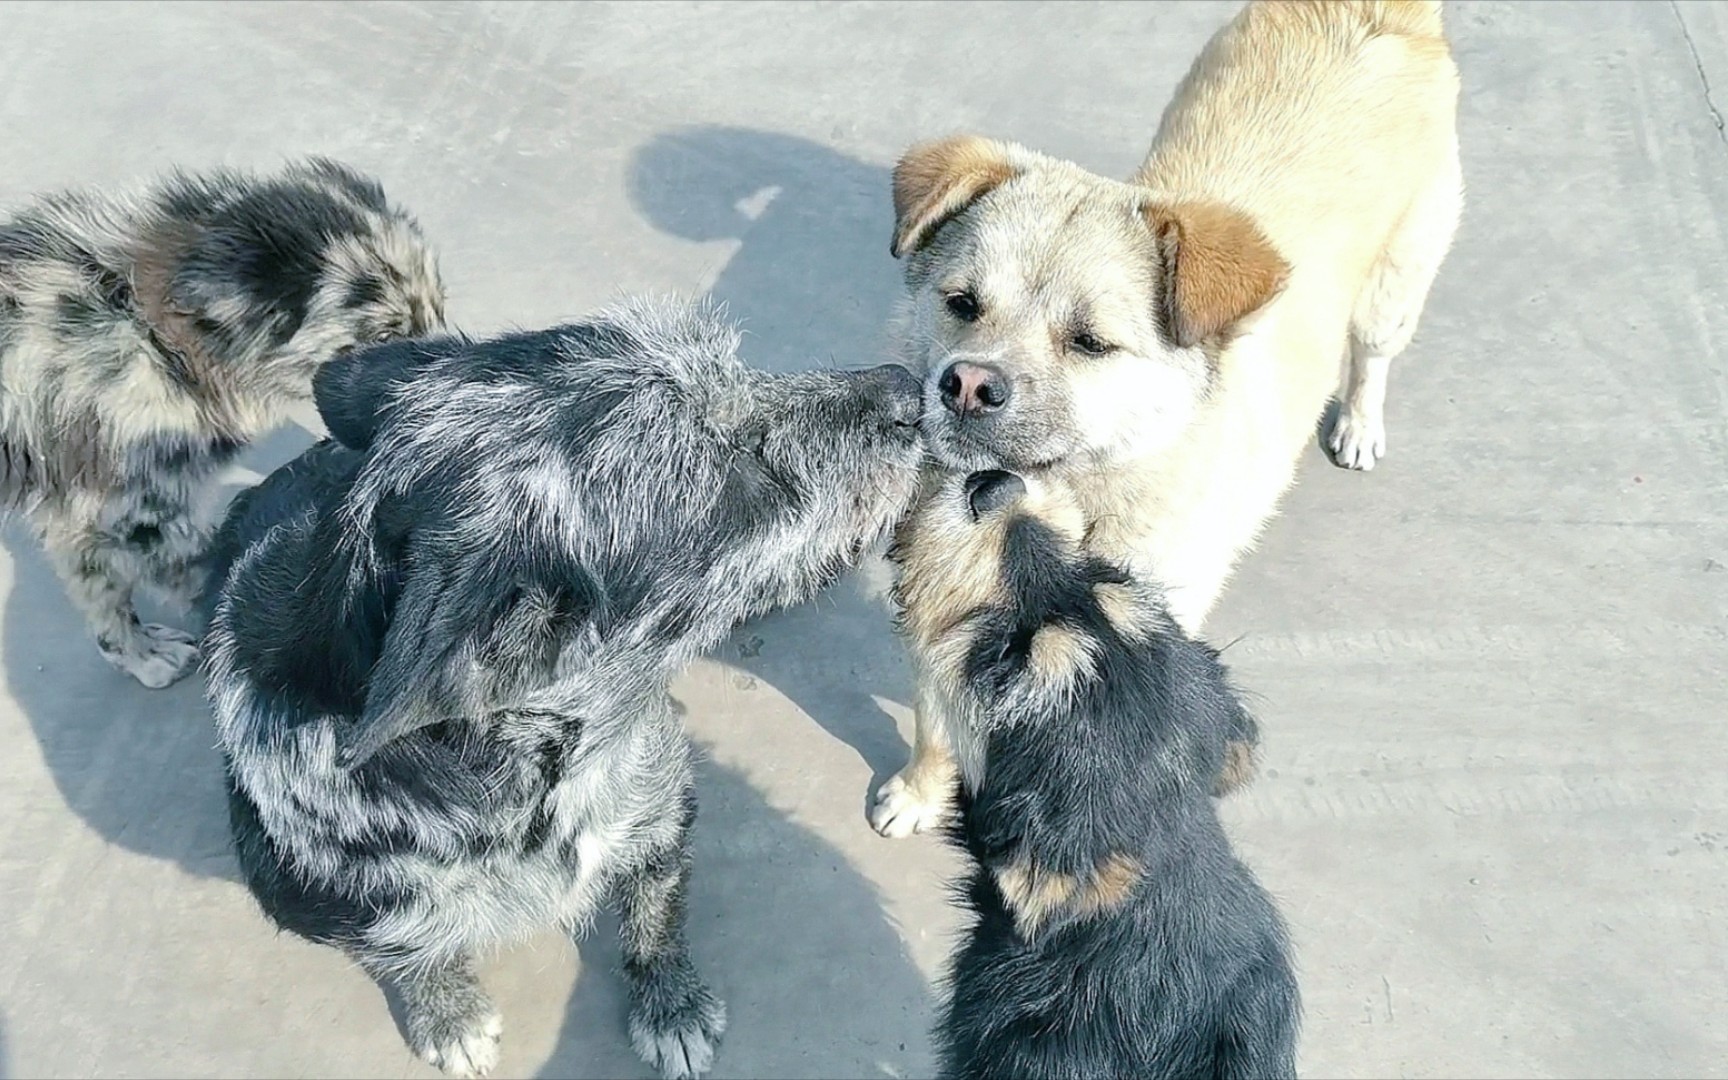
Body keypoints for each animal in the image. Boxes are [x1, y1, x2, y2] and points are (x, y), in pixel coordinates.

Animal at [1, 157, 445, 687]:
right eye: (383, 337)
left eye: (441, 309)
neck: (149, 334)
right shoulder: (125, 512)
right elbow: (207, 569)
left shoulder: (80, 514)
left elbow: (99, 588)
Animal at [202, 297, 933, 1078]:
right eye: (734, 471)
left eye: (736, 373)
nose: (910, 389)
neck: (538, 779)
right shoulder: (323, 906)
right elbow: (408, 953)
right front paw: (448, 1015)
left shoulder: (661, 811)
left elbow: (655, 915)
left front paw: (670, 1005)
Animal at [877, 0, 1458, 832]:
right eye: (962, 304)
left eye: (1090, 343)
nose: (966, 386)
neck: (1051, 505)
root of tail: (1380, 14)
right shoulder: (932, 614)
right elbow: (933, 721)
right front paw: (920, 792)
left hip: (1395, 285)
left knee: (1374, 353)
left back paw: (1359, 422)